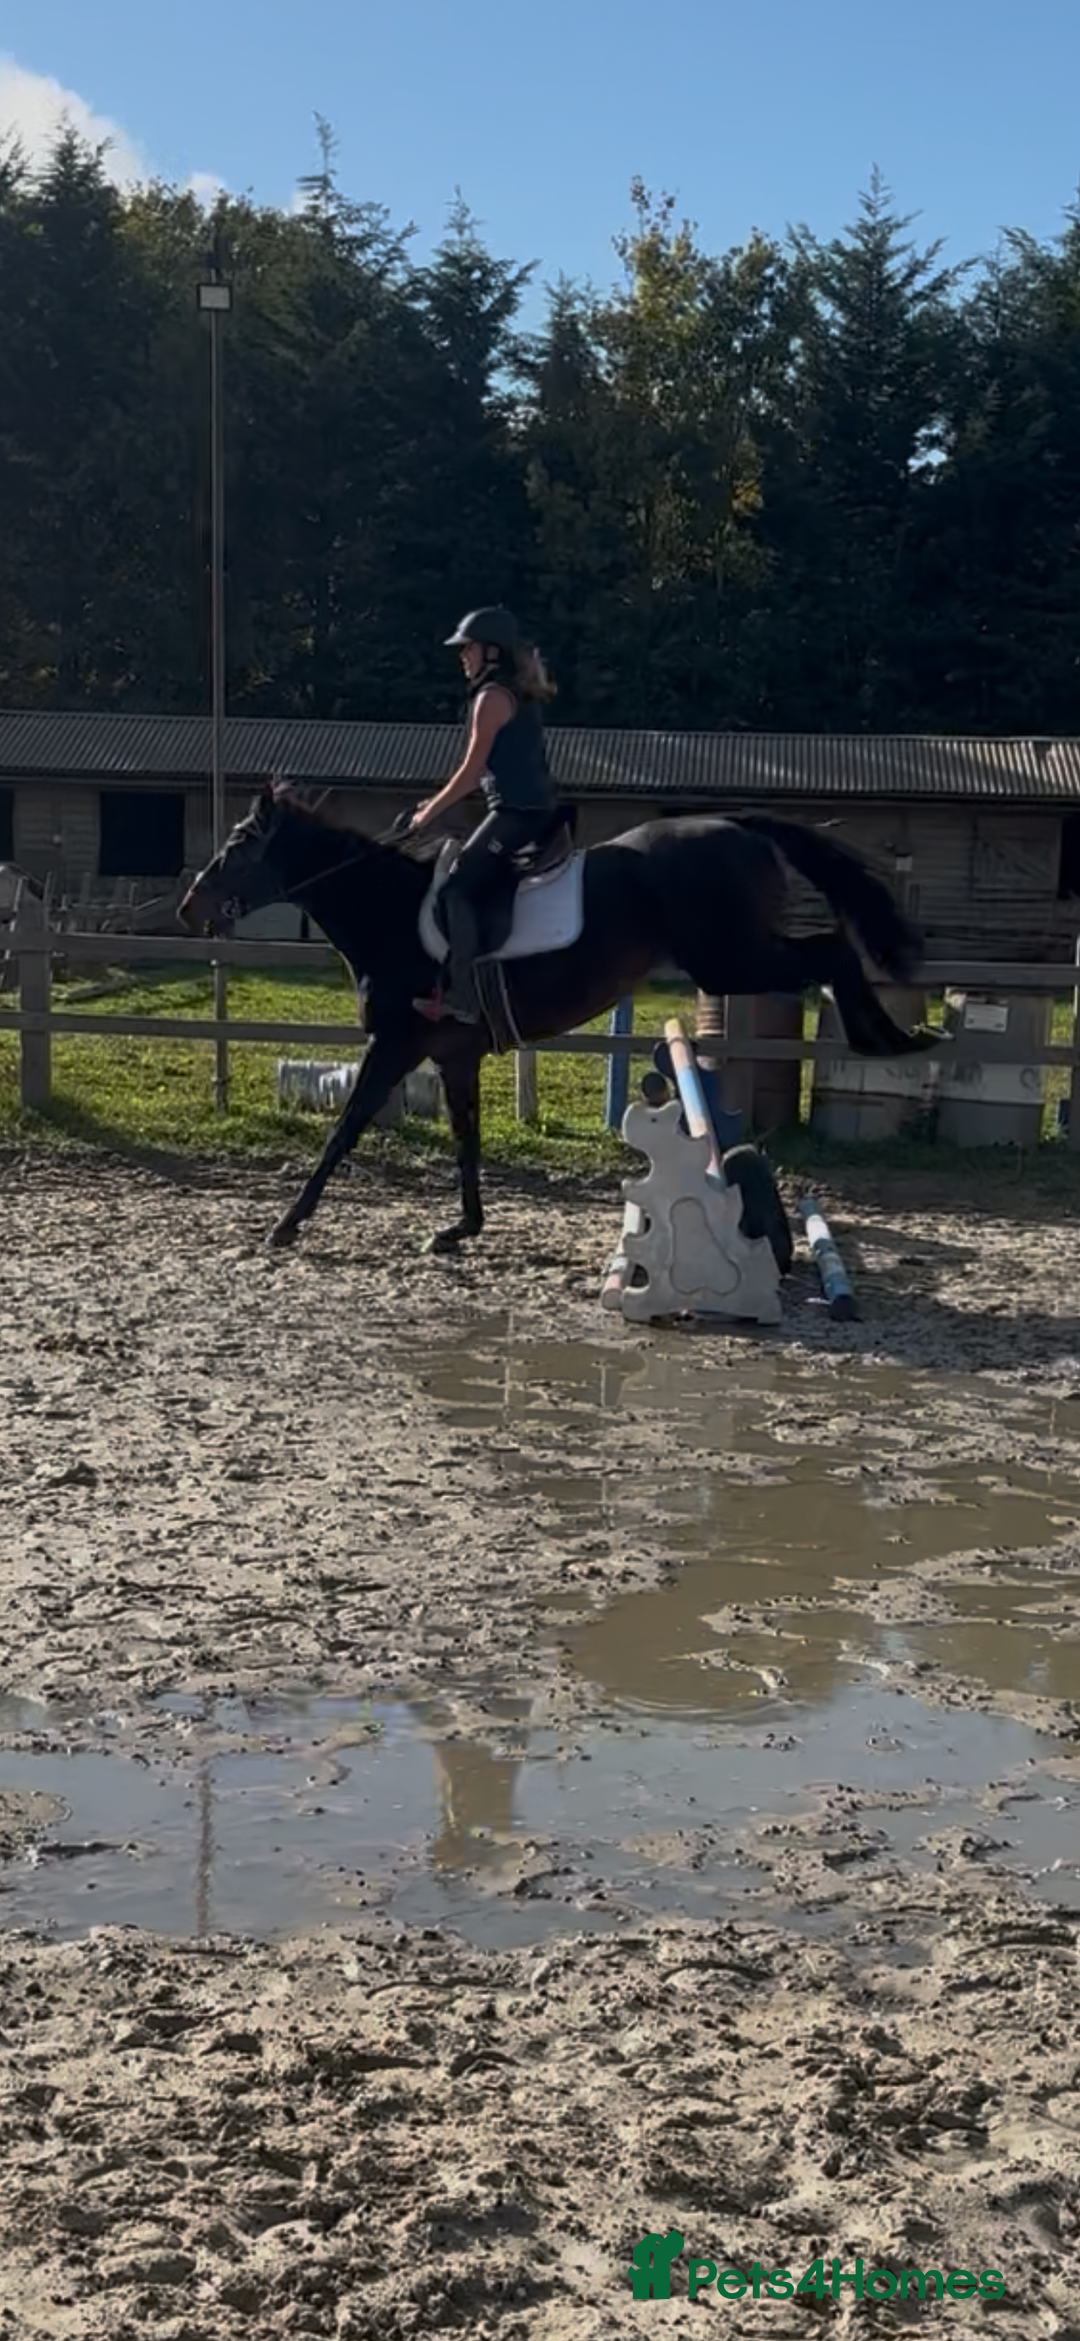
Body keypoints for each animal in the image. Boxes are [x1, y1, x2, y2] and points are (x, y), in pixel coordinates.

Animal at [177, 781, 932, 1256]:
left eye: (237, 848)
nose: (188, 908)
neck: (388, 914)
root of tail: (732, 822)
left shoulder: (392, 1045)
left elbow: (344, 1129)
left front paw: (286, 1223)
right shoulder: (452, 1055)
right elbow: (466, 1140)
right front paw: (460, 1229)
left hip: (728, 960)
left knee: (832, 952)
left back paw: (886, 1037)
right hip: (731, 957)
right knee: (830, 951)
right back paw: (894, 1036)